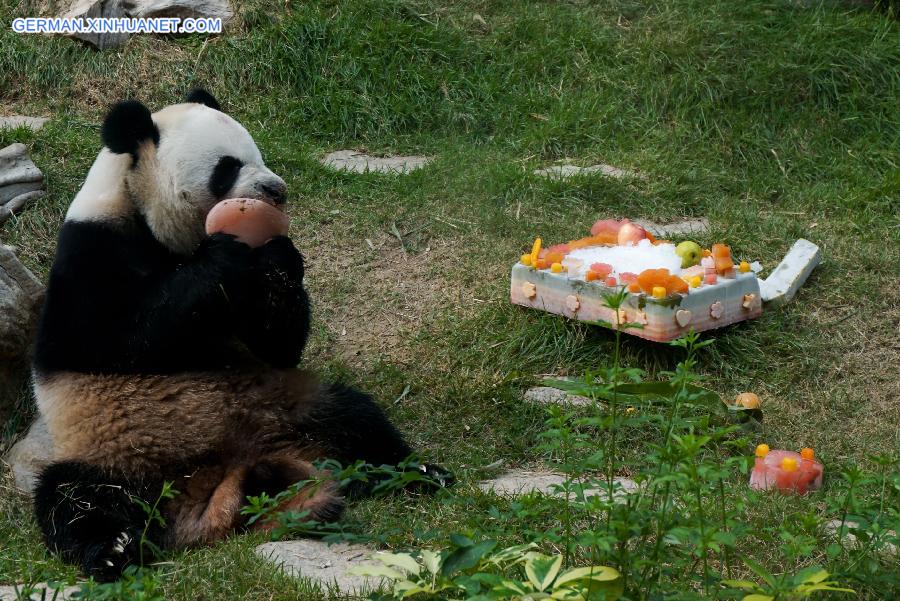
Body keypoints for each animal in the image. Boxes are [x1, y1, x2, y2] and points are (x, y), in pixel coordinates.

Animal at [29, 90, 450, 580]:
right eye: (227, 167)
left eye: (259, 155)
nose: (277, 190)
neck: (143, 211)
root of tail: (214, 485)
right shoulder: (91, 254)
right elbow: (116, 339)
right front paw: (224, 256)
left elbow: (277, 346)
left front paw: (279, 256)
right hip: (116, 453)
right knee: (75, 499)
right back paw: (113, 550)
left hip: (287, 406)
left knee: (356, 419)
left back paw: (412, 473)